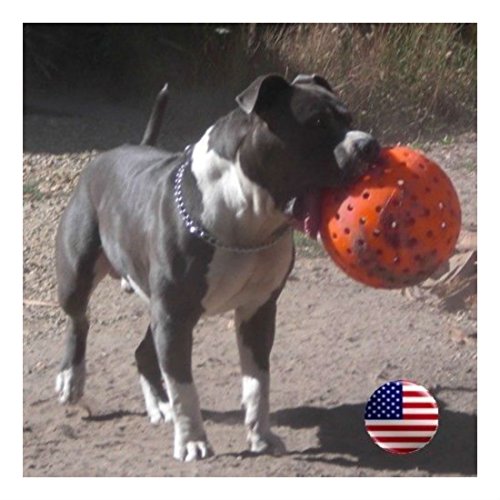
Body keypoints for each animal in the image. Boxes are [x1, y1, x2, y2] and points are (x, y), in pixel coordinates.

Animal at [54, 74, 380, 462]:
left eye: (349, 118)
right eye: (317, 122)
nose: (369, 144)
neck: (248, 216)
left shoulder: (257, 311)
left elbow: (258, 381)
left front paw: (261, 435)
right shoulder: (175, 317)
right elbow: (184, 387)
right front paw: (192, 440)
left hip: (159, 309)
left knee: (143, 351)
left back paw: (157, 405)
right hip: (79, 277)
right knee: (79, 319)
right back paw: (72, 381)